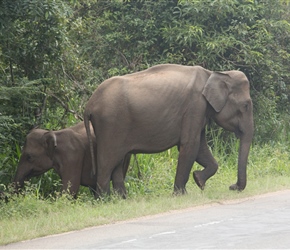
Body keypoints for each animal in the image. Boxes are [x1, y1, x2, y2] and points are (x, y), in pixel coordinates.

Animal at [84, 64, 254, 197]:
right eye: (245, 105)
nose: (232, 187)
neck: (213, 73)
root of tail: (89, 105)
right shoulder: (195, 106)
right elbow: (190, 145)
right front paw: (182, 194)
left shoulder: (199, 112)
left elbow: (200, 147)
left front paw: (198, 180)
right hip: (110, 125)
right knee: (107, 162)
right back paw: (105, 199)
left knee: (117, 163)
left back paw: (122, 199)